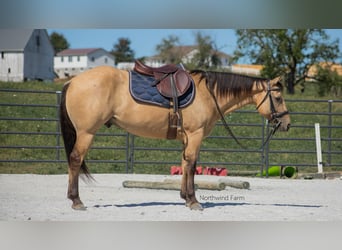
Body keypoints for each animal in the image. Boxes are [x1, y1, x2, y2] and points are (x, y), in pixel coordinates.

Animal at [60, 61, 290, 210]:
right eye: (278, 98)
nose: (286, 124)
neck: (208, 93)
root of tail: (73, 81)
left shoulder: (187, 138)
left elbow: (185, 164)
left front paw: (185, 197)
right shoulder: (195, 135)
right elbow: (192, 164)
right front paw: (193, 201)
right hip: (86, 133)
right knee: (75, 159)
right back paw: (76, 200)